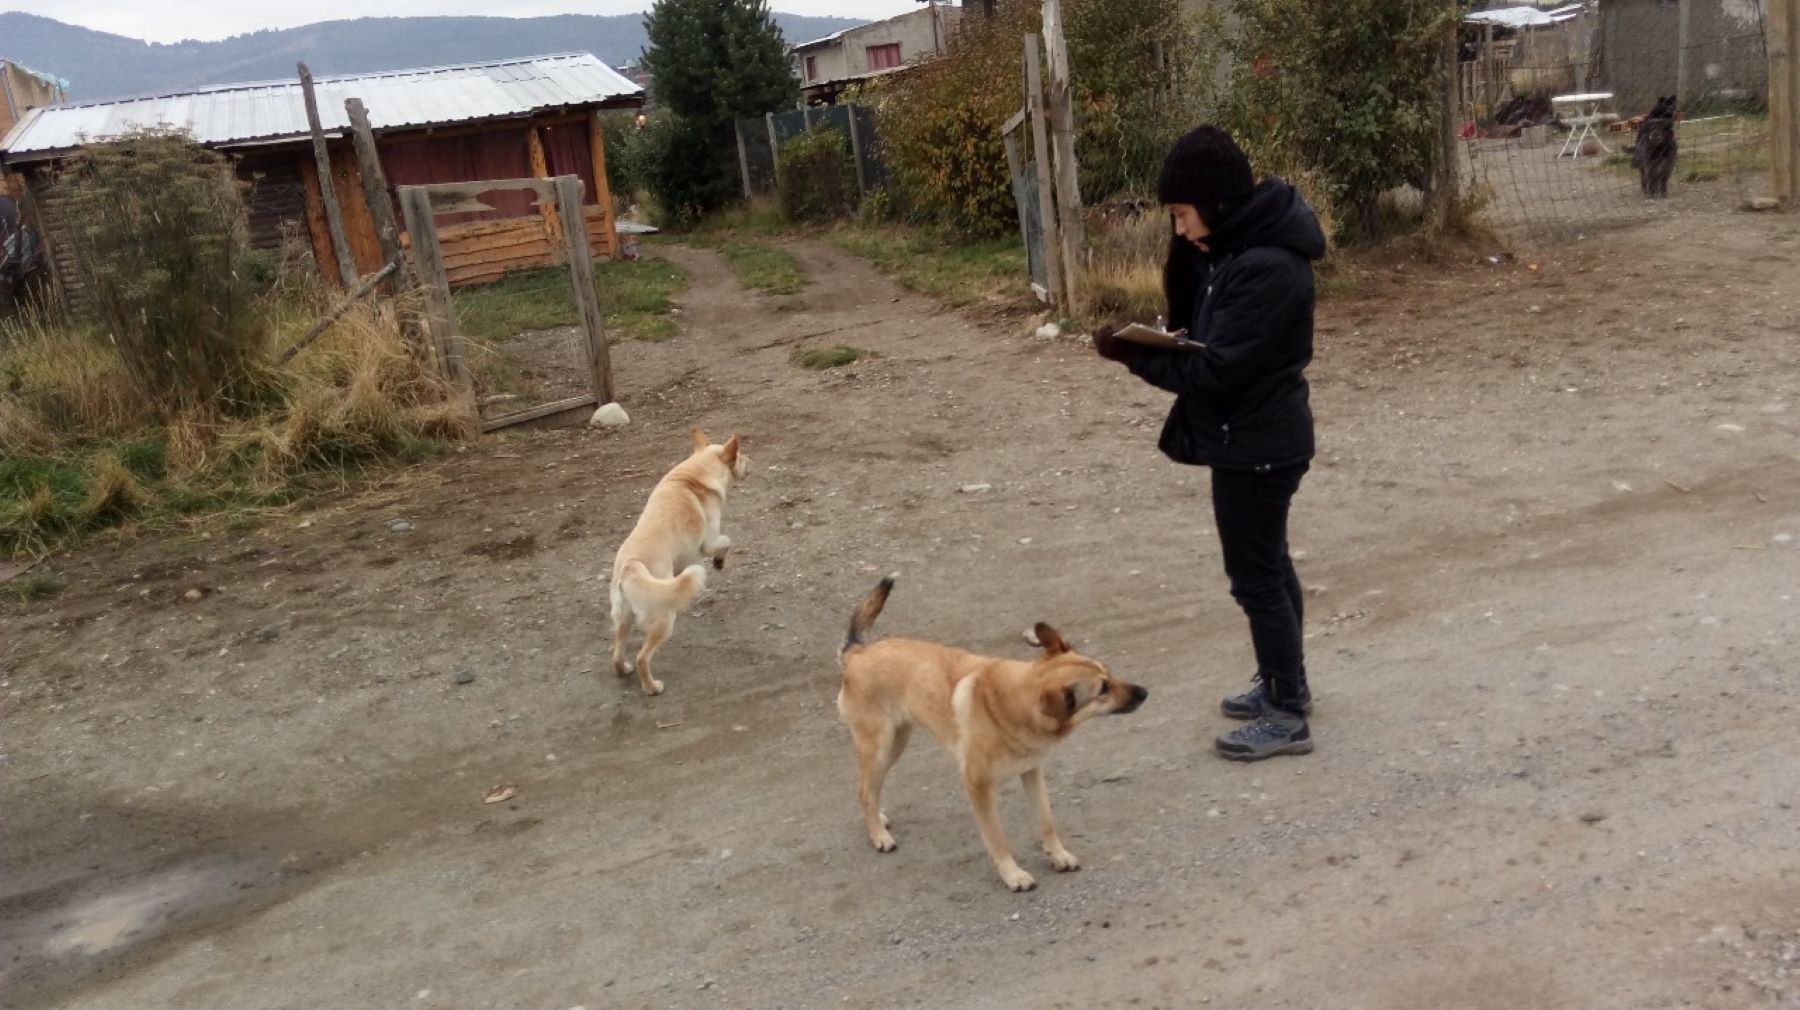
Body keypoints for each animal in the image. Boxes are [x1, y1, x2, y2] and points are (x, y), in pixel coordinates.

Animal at [604, 424, 745, 691]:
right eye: (741, 455)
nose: (751, 460)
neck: (695, 473)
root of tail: (631, 566)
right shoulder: (708, 542)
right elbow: (727, 541)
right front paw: (719, 562)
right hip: (664, 619)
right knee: (642, 657)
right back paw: (652, 687)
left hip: (623, 619)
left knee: (617, 654)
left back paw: (623, 670)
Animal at [831, 576, 1144, 889]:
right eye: (1102, 689)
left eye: (1109, 673)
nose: (1145, 692)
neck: (1014, 702)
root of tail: (859, 653)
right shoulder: (978, 787)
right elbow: (998, 839)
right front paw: (1013, 875)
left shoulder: (1032, 772)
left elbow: (1046, 820)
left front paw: (1058, 856)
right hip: (880, 748)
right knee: (864, 791)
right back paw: (879, 836)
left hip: (896, 743)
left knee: (871, 788)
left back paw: (878, 817)